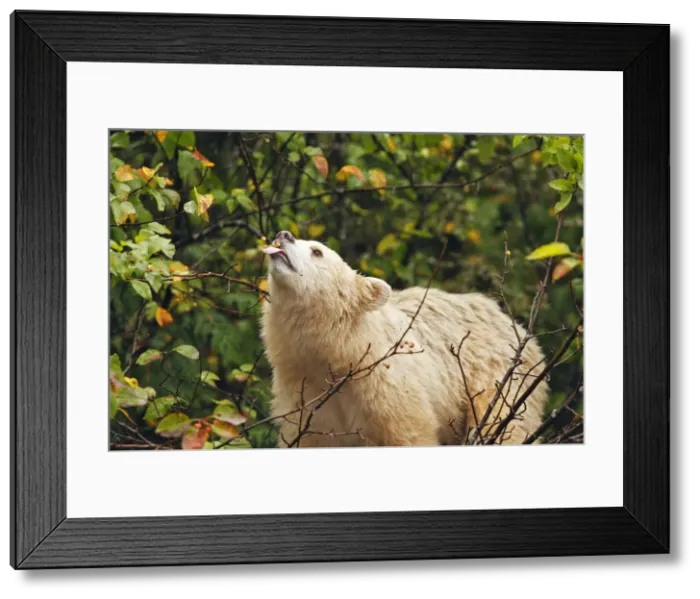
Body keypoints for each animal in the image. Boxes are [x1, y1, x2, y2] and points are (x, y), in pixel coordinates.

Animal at [260, 230, 548, 448]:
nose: (283, 235)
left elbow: (409, 432)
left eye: (317, 251)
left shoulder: (388, 387)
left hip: (497, 375)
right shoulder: (307, 396)